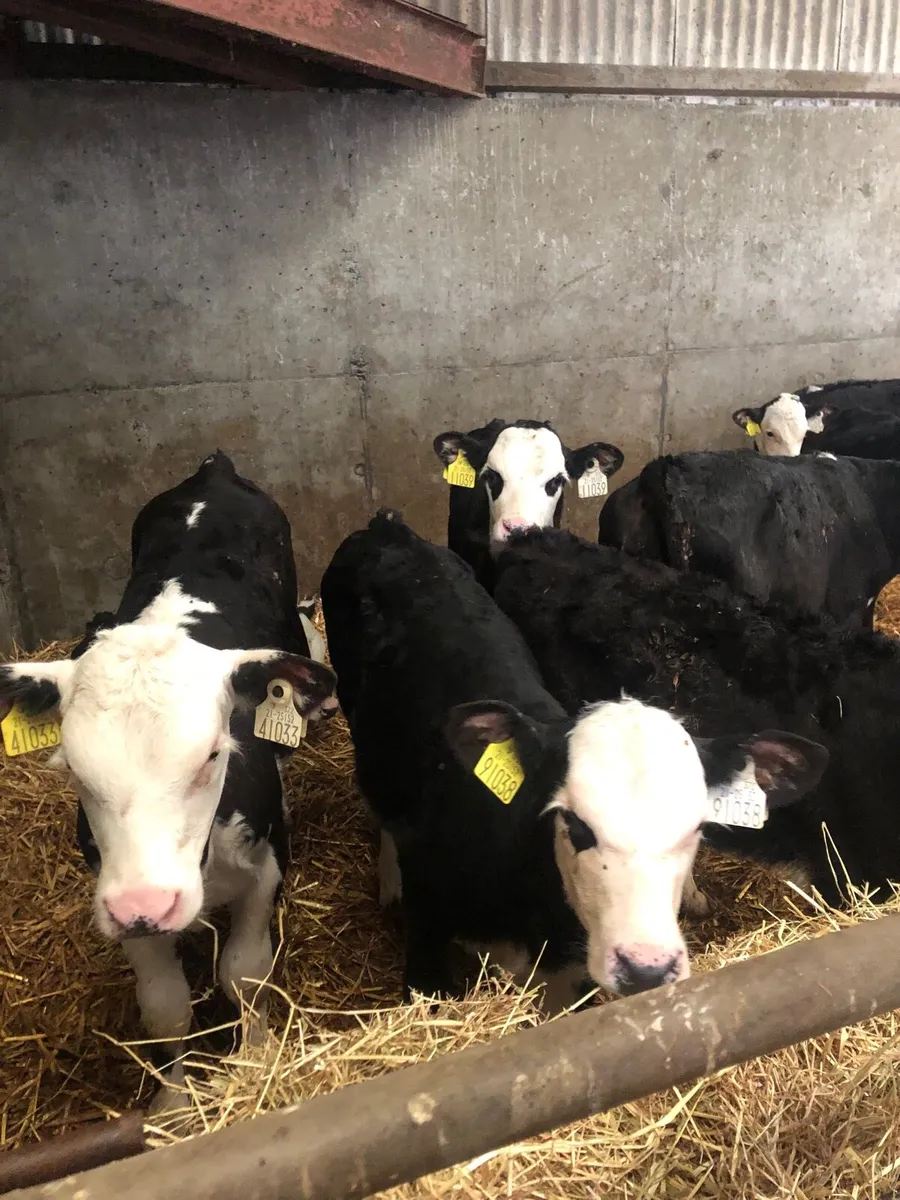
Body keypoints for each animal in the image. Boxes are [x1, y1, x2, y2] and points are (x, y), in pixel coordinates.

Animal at [0, 451, 336, 1112]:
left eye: (212, 754)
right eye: (73, 766)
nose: (148, 904)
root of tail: (213, 468)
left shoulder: (268, 864)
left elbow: (244, 974)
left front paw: (255, 1057)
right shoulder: (115, 896)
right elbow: (164, 1007)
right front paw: (174, 1103)